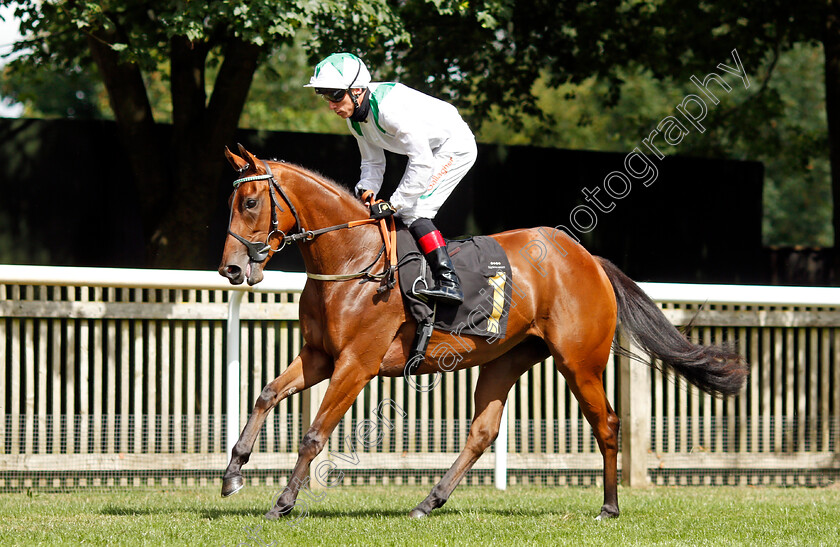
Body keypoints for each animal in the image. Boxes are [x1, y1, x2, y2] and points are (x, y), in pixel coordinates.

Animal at [217, 143, 748, 520]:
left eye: (250, 201)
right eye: (233, 201)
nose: (231, 268)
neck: (354, 260)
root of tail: (588, 259)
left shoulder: (357, 363)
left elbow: (314, 434)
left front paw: (282, 503)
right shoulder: (320, 355)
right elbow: (266, 394)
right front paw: (232, 474)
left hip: (579, 362)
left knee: (607, 424)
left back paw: (609, 507)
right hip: (506, 359)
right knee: (482, 431)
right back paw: (428, 502)